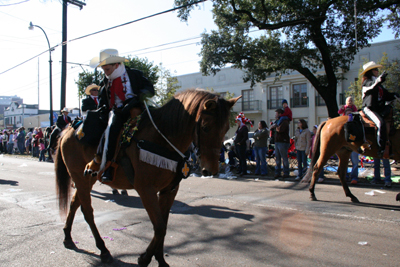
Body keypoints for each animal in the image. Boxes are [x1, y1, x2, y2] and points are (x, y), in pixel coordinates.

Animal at [54, 89, 239, 266]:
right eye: (206, 128)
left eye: (226, 129)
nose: (211, 170)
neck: (162, 139)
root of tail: (69, 130)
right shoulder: (146, 190)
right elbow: (160, 227)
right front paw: (145, 258)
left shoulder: (169, 190)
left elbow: (163, 225)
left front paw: (160, 259)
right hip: (80, 178)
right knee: (87, 212)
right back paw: (103, 250)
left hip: (86, 179)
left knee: (74, 204)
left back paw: (68, 237)